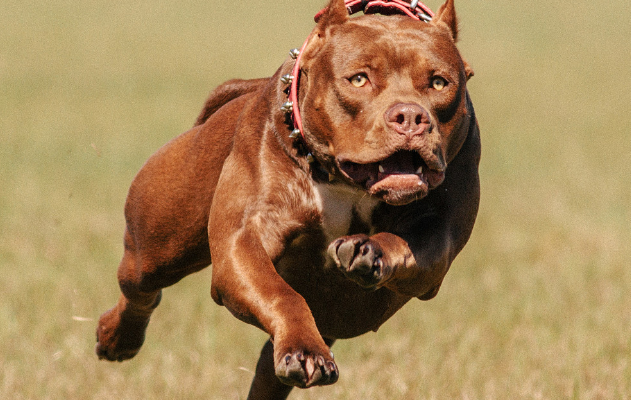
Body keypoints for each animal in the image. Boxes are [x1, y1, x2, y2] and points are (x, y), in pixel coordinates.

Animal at [95, 0, 478, 396]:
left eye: (439, 82)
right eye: (359, 79)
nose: (410, 115)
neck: (346, 183)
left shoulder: (437, 243)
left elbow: (406, 244)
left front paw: (370, 251)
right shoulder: (243, 244)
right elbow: (281, 294)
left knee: (270, 367)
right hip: (158, 243)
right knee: (141, 287)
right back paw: (118, 338)